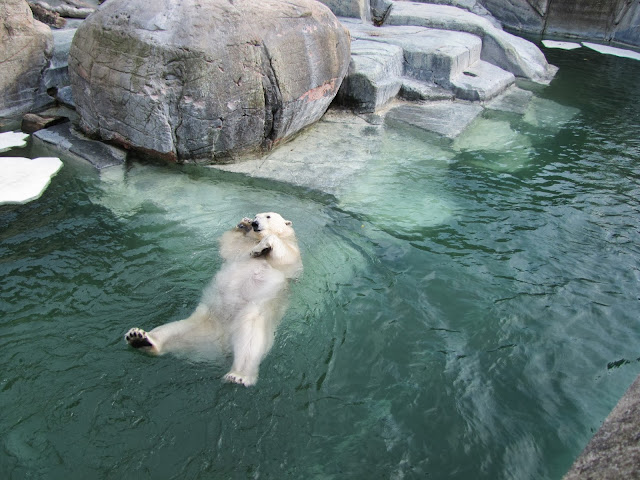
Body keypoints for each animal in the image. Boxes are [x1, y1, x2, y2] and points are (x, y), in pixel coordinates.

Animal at [125, 212, 303, 387]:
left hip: (251, 316)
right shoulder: (241, 245)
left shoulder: (291, 255)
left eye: (268, 216)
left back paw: (239, 375)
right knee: (174, 330)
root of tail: (221, 345)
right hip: (204, 321)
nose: (254, 223)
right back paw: (139, 338)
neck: (255, 240)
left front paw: (259, 249)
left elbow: (285, 256)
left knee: (250, 342)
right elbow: (228, 246)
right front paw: (242, 224)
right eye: (256, 216)